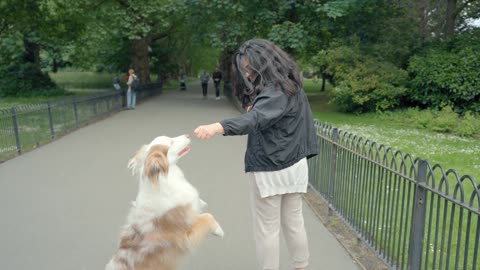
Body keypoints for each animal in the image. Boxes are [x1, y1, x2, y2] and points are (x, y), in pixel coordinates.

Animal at [106, 135, 224, 270]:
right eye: (171, 142)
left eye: (171, 137)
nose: (187, 135)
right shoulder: (186, 234)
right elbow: (208, 216)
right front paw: (219, 231)